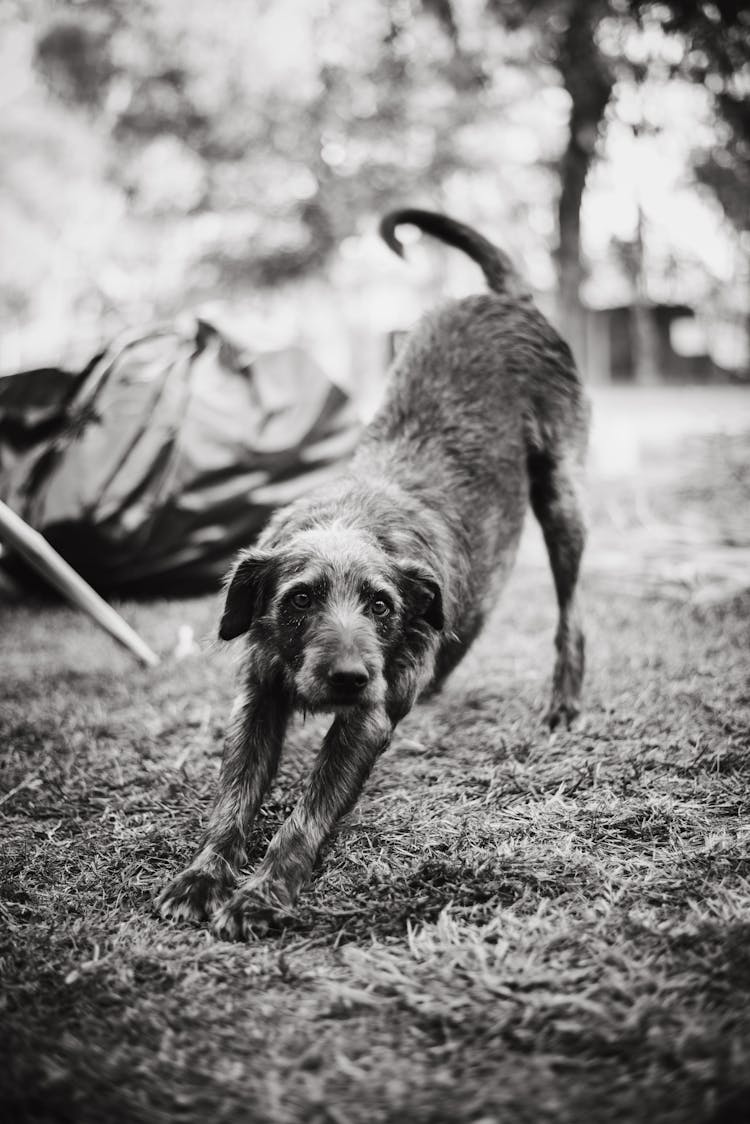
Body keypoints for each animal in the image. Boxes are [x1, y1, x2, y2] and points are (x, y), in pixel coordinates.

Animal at [157, 209, 593, 939]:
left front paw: (263, 892)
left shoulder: (363, 720)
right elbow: (233, 800)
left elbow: (306, 815)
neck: (353, 520)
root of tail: (506, 298)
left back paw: (562, 699)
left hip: (562, 498)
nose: (349, 677)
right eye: (299, 599)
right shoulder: (258, 698)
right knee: (472, 616)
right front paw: (204, 875)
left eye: (382, 605)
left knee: (572, 615)